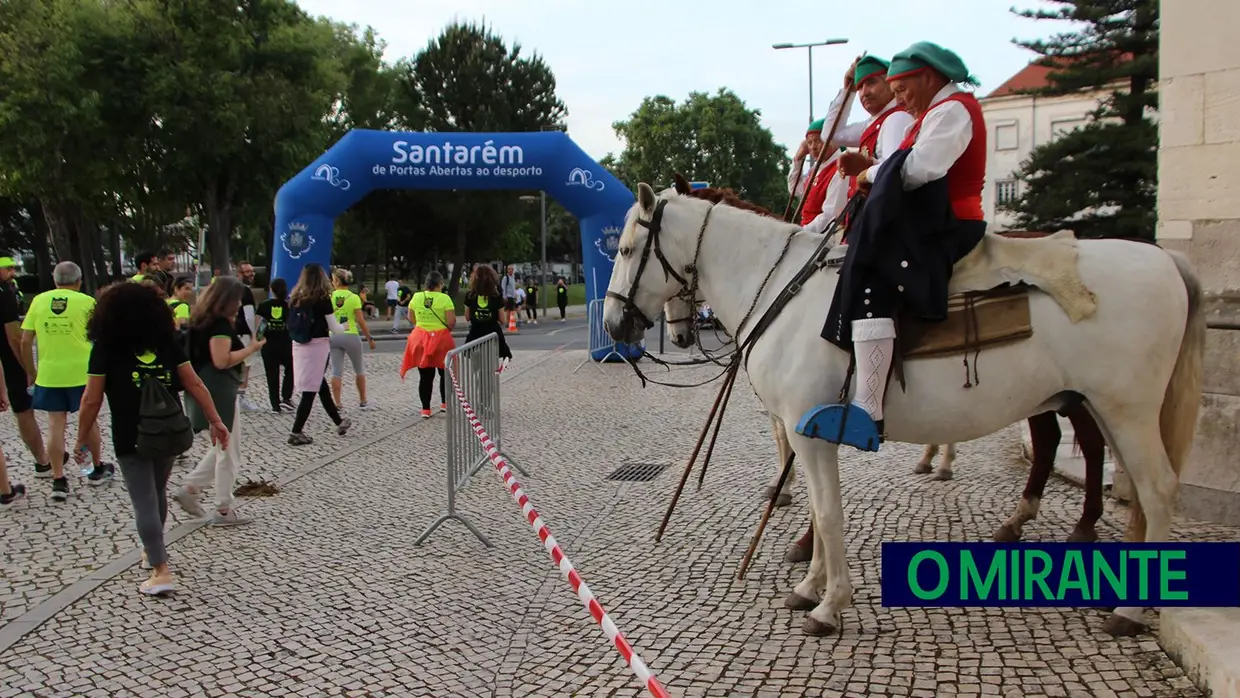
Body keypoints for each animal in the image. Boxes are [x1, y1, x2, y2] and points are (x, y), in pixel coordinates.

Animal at [674, 177, 1111, 560]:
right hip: (1051, 392)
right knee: (1053, 439)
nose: (677, 334)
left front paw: (806, 537)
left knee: (1087, 442)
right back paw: (1015, 516)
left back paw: (1082, 523)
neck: (785, 286)